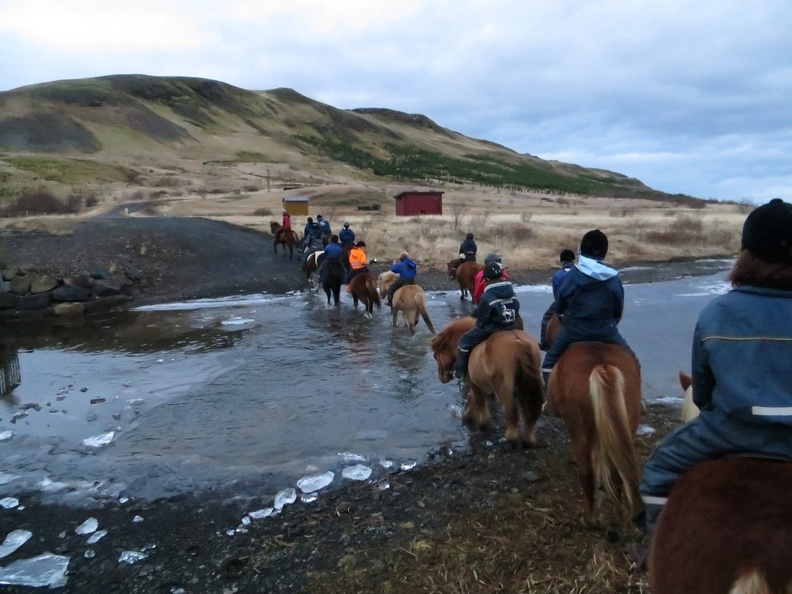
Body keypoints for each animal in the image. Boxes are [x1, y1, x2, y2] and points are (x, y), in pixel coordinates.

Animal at [430, 316, 548, 446]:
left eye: (435, 356)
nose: (442, 378)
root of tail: (519, 343)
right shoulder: (482, 387)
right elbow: (474, 401)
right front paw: (468, 417)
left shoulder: (475, 385)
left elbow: (480, 407)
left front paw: (478, 423)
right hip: (526, 385)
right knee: (529, 411)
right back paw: (528, 439)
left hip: (504, 388)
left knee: (512, 412)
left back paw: (510, 437)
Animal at [548, 340, 648, 524]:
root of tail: (602, 367)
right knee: (617, 473)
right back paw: (617, 515)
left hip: (579, 432)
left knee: (586, 472)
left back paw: (590, 519)